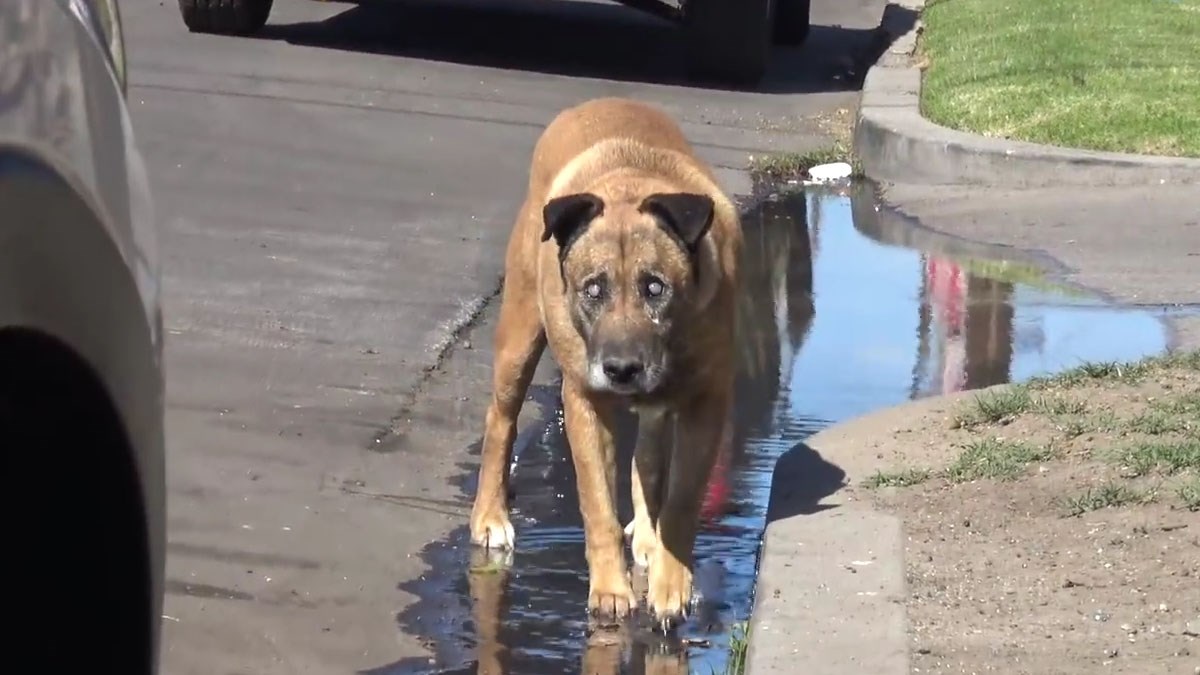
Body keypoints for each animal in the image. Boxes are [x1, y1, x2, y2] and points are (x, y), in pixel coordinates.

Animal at [468, 97, 739, 624]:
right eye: (593, 289)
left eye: (655, 287)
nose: (621, 368)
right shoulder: (585, 402)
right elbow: (596, 504)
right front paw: (611, 589)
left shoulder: (708, 401)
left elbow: (680, 498)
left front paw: (671, 583)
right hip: (519, 335)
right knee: (501, 420)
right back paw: (490, 516)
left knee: (648, 457)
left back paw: (649, 539)